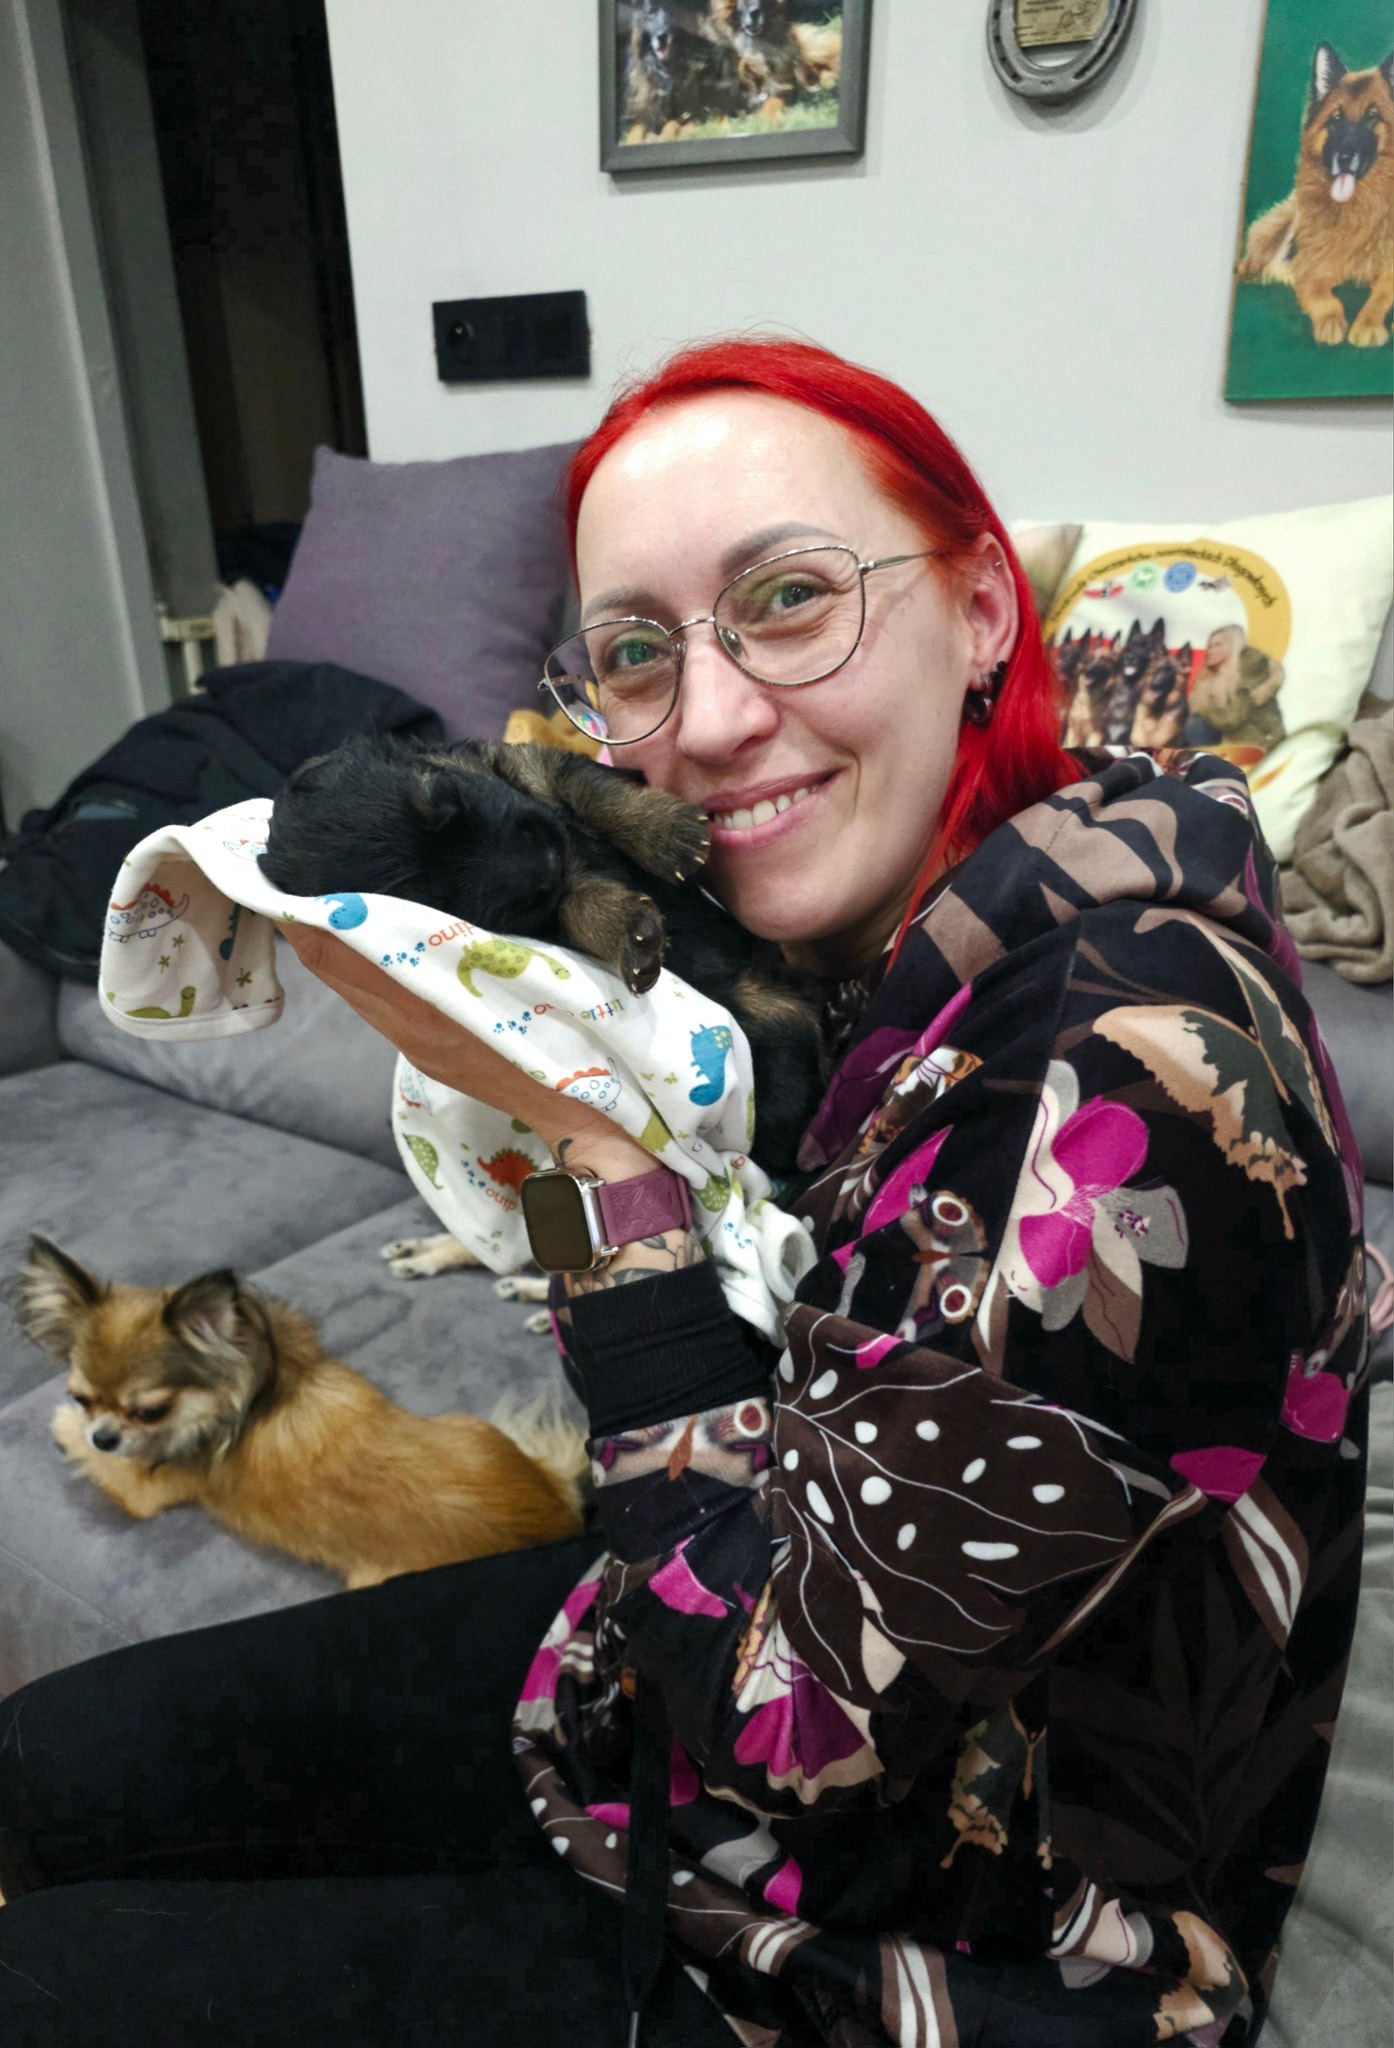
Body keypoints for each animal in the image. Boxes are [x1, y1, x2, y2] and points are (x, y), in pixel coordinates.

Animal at [16, 1236, 585, 1589]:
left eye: (150, 1412)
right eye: (83, 1396)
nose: (104, 1436)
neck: (249, 1394)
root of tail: (559, 1514)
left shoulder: (143, 1488)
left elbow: (93, 1456)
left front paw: (61, 1427)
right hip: (465, 1424)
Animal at [259, 736, 828, 1180]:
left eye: (443, 792)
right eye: (431, 898)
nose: (548, 861)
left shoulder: (528, 765)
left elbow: (590, 787)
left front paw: (667, 831)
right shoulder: (545, 915)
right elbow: (579, 902)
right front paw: (631, 930)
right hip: (772, 1024)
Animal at [1238, 45, 1394, 349]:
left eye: (1372, 117)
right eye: (1336, 119)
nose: (1343, 158)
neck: (1360, 211)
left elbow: (1382, 292)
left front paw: (1367, 324)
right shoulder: (1311, 268)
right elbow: (1322, 296)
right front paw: (1330, 322)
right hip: (1272, 227)